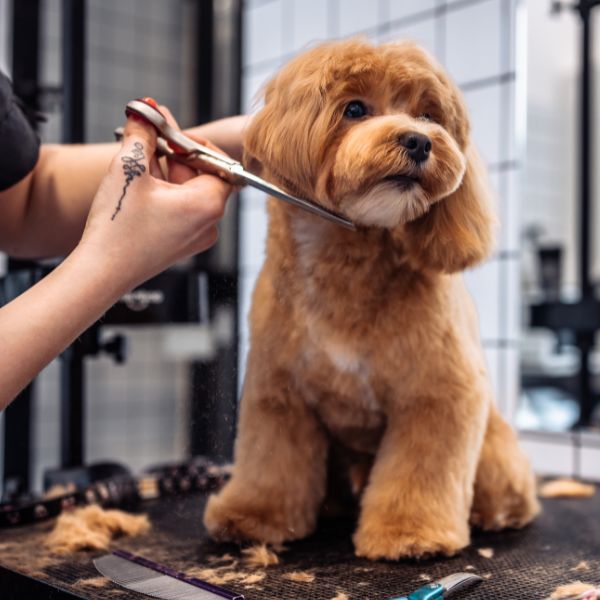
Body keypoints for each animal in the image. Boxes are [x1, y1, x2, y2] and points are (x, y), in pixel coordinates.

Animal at [204, 39, 540, 560]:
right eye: (355, 109)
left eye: (429, 115)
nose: (419, 141)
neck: (346, 265)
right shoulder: (278, 393)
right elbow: (270, 462)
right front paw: (254, 516)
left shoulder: (438, 393)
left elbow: (420, 470)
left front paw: (410, 533)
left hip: (493, 452)